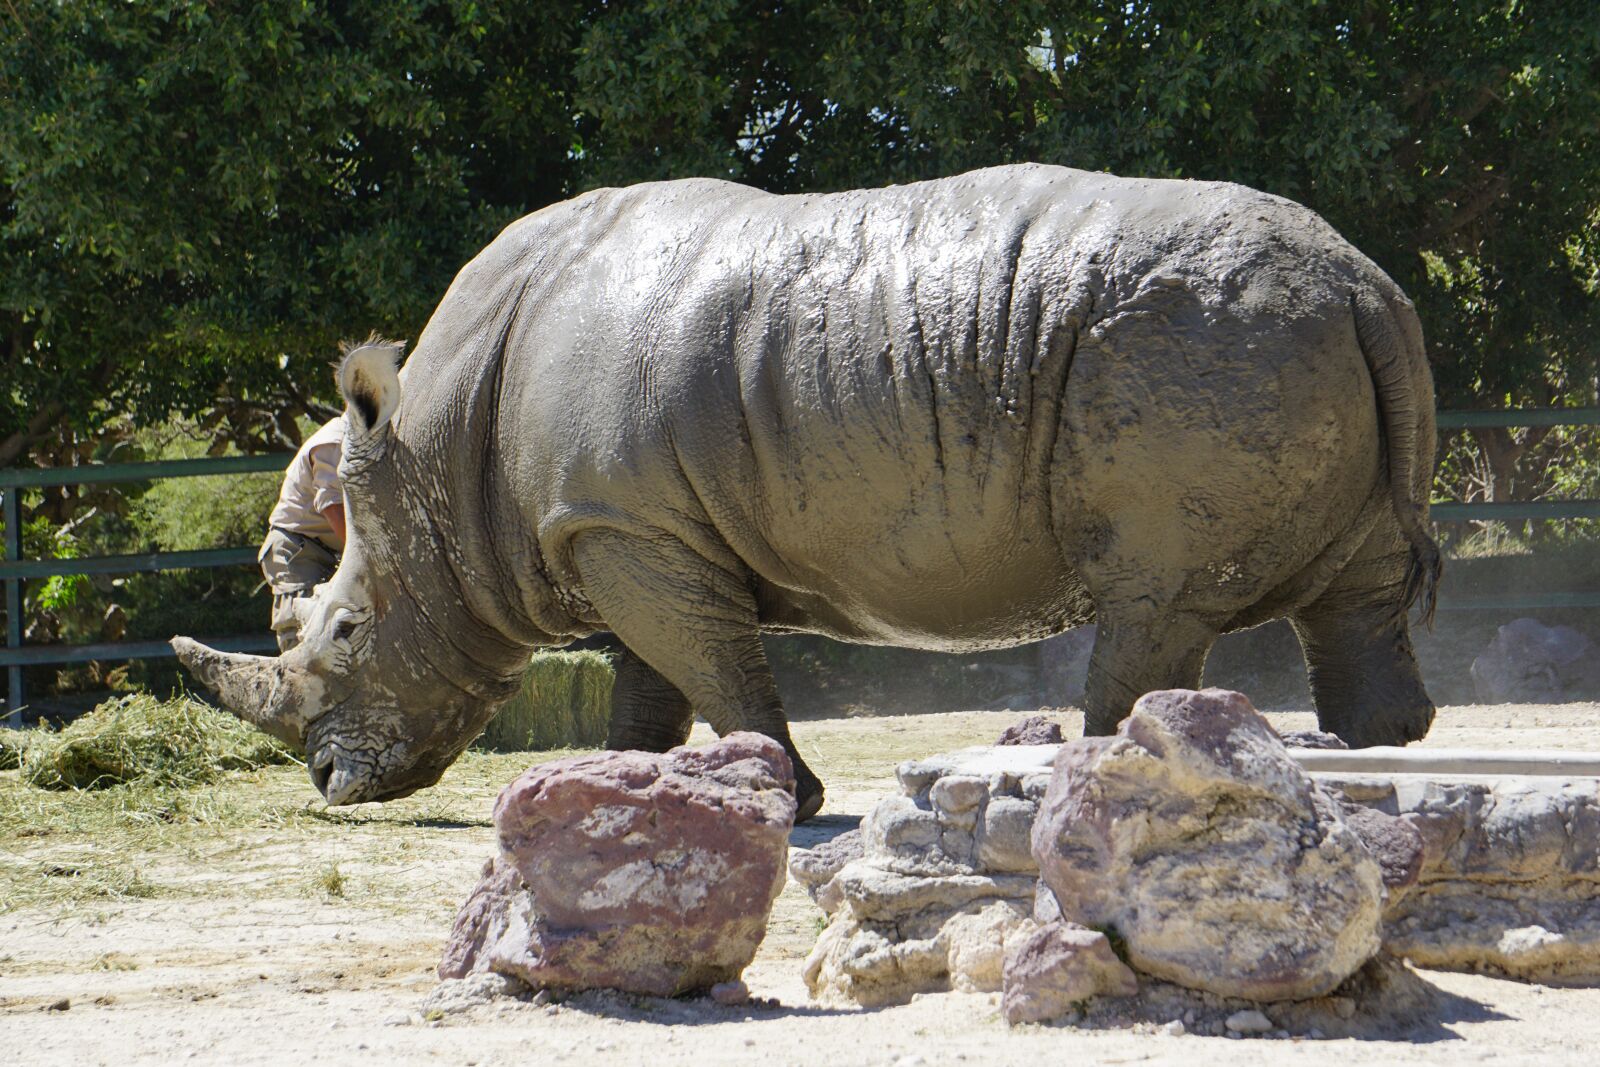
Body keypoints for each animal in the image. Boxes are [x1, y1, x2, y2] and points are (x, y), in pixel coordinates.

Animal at [174, 164, 1440, 821]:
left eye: (346, 629)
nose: (329, 780)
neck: (436, 459)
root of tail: (1362, 278)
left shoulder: (626, 527)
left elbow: (711, 666)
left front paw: (784, 796)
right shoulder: (625, 528)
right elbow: (654, 681)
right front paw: (628, 784)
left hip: (1202, 343)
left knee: (1154, 597)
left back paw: (1094, 774)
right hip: (1294, 333)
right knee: (1356, 583)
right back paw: (1373, 749)